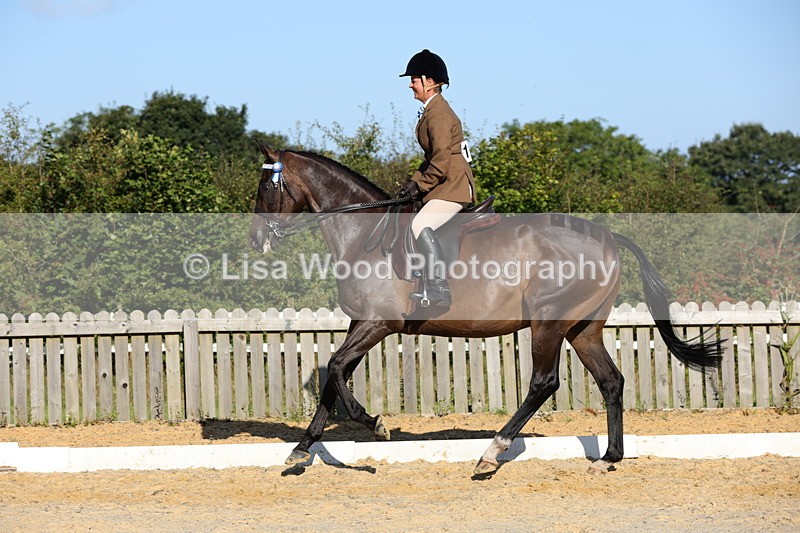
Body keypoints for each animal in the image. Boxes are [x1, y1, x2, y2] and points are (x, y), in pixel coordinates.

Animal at [249, 142, 722, 476]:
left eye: (265, 186)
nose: (256, 239)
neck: (364, 233)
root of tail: (607, 238)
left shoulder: (379, 323)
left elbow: (335, 366)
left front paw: (375, 423)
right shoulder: (360, 323)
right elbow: (335, 373)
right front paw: (301, 449)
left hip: (548, 323)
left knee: (543, 383)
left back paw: (491, 453)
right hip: (582, 329)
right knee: (611, 381)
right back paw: (608, 458)